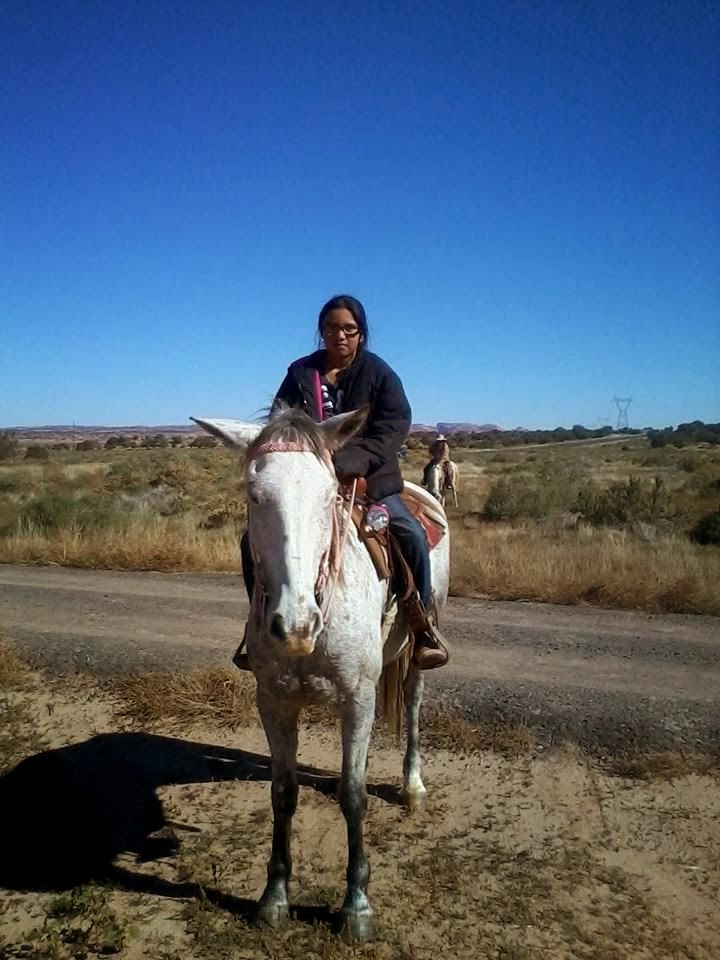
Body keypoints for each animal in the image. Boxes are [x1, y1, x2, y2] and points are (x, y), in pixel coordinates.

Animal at [192, 407, 450, 943]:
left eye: (330, 494)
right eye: (253, 494)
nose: (295, 624)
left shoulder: (359, 698)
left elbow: (355, 796)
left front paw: (356, 905)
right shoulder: (273, 702)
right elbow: (283, 793)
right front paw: (274, 897)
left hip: (419, 647)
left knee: (414, 702)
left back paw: (413, 785)